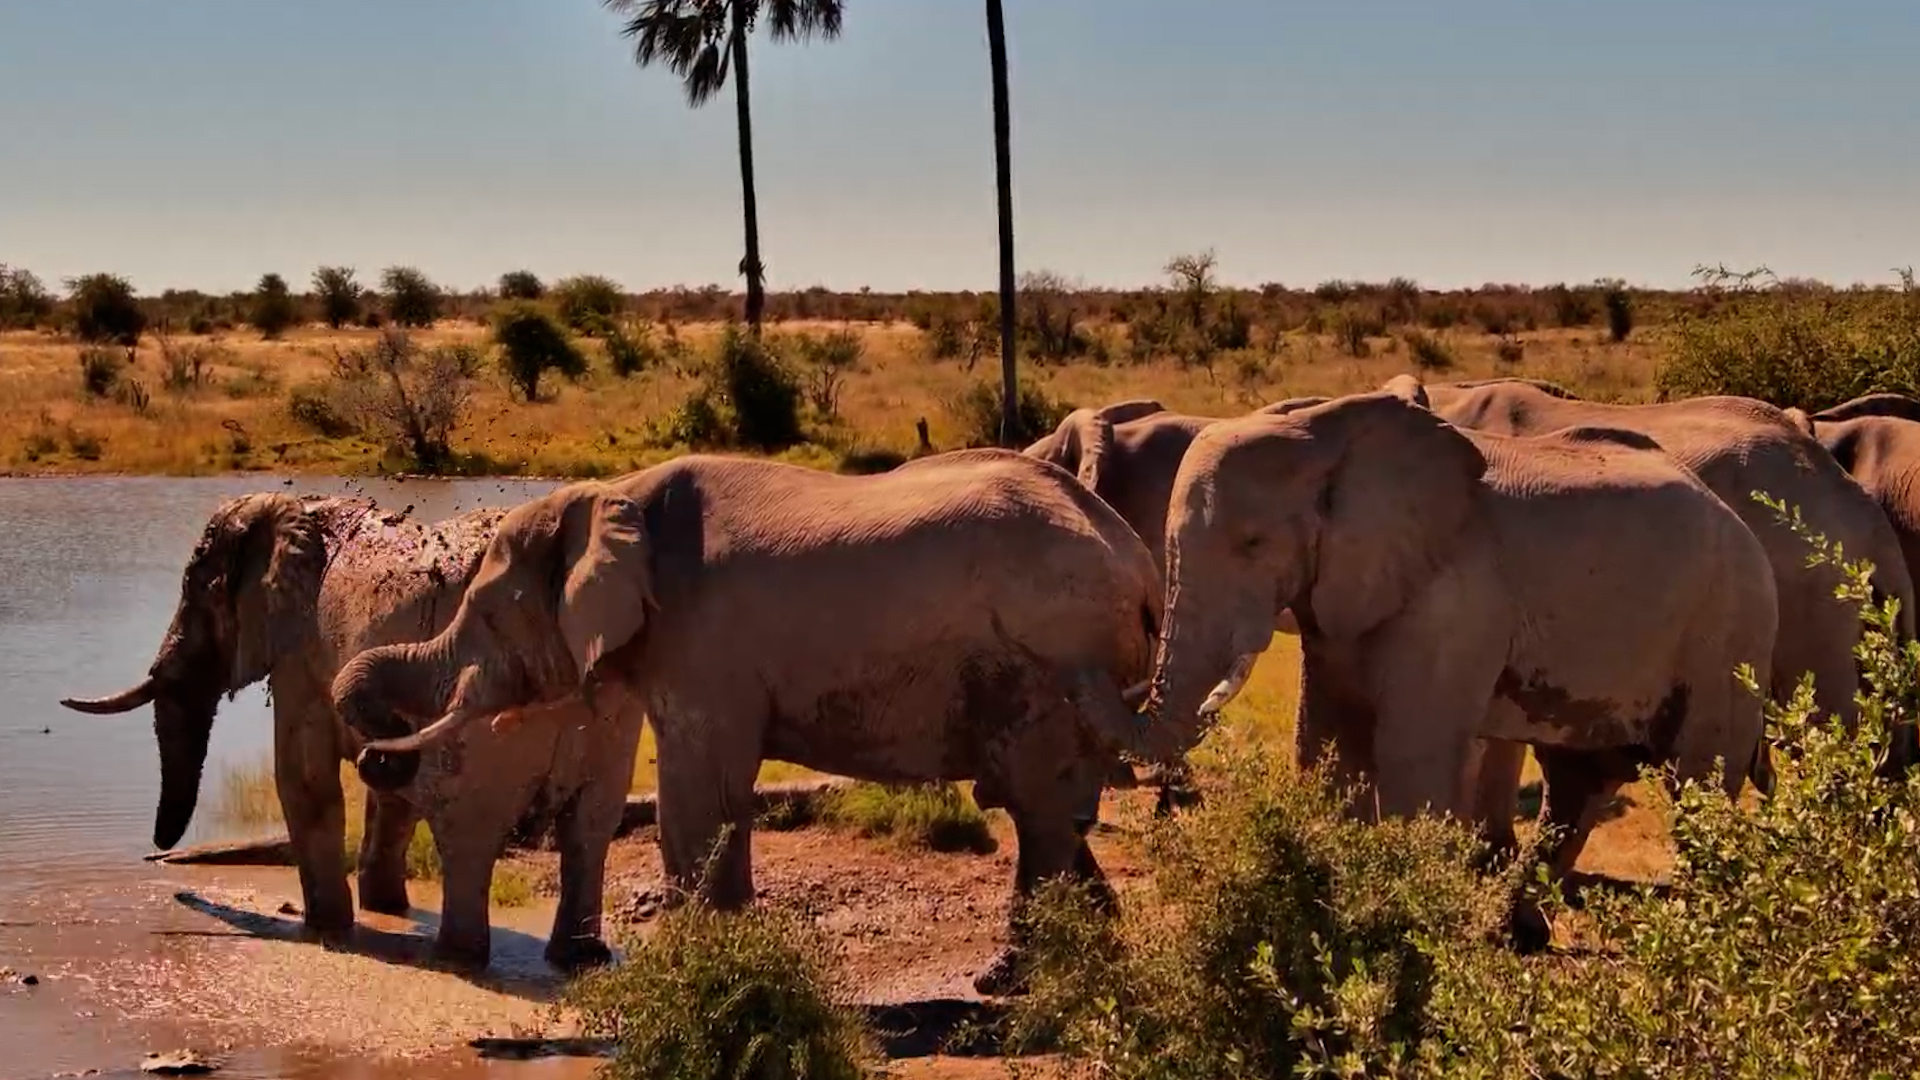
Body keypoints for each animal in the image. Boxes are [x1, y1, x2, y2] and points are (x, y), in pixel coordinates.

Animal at [59, 492, 643, 972]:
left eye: (197, 594)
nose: (159, 854)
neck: (296, 511)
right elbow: (390, 799)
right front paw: (385, 908)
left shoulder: (300, 656)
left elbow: (303, 778)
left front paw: (326, 927)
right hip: (611, 717)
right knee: (591, 827)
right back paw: (579, 960)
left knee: (468, 830)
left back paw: (456, 958)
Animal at [330, 449, 1163, 996]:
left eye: (486, 614)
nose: (376, 756)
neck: (611, 498)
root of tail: (1138, 559)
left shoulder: (704, 646)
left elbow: (697, 800)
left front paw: (701, 963)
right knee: (1050, 813)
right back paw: (1093, 951)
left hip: (1052, 657)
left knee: (1037, 813)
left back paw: (1006, 981)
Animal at [1063, 385, 1779, 948]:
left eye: (1252, 543)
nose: (1089, 672)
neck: (1327, 437)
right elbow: (1326, 747)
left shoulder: (1456, 598)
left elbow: (1410, 753)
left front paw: (1402, 929)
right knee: (1578, 782)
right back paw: (1514, 934)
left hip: (1729, 633)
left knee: (1699, 781)